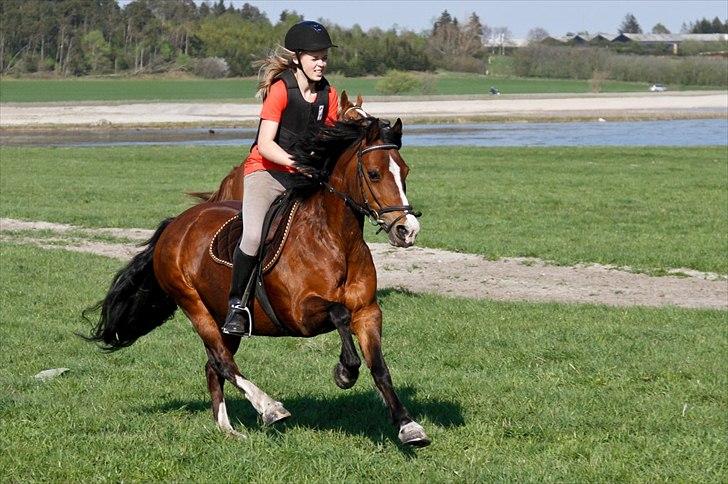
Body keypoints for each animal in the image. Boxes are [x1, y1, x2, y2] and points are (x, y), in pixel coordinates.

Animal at [84, 114, 430, 446]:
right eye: (374, 174)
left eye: (405, 171)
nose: (407, 230)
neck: (335, 240)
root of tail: (177, 224)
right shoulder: (299, 314)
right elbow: (339, 314)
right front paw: (344, 372)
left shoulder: (369, 312)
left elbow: (380, 368)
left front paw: (408, 427)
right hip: (194, 306)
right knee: (223, 362)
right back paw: (269, 408)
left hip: (224, 320)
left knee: (213, 366)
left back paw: (227, 429)